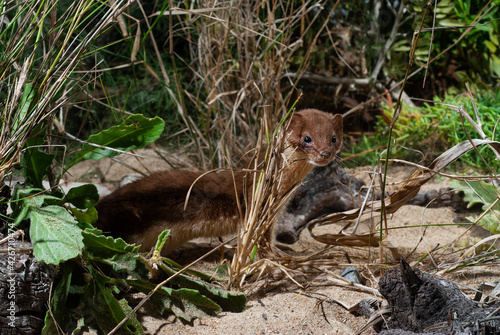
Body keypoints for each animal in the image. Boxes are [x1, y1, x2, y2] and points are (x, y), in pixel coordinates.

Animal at [94, 109, 344, 253]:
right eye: (307, 138)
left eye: (333, 138)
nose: (325, 154)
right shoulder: (256, 212)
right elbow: (261, 244)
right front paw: (277, 259)